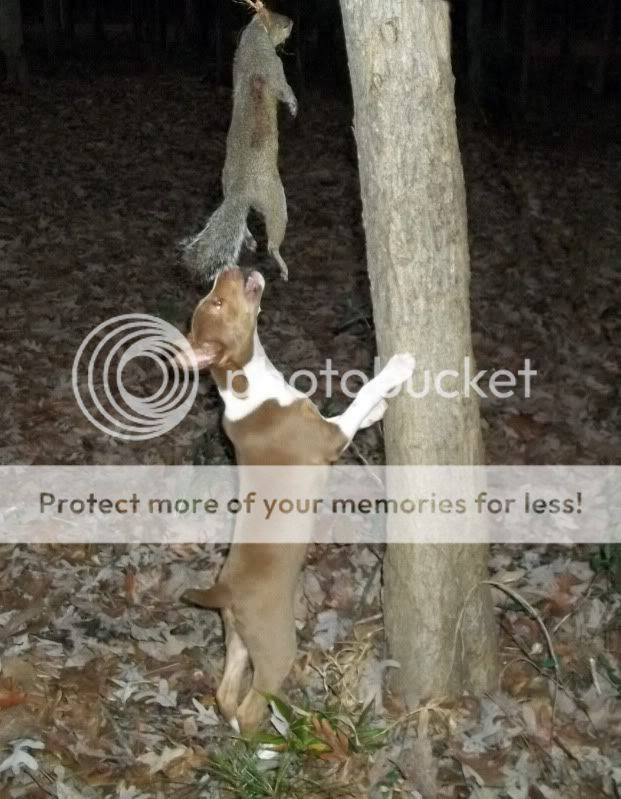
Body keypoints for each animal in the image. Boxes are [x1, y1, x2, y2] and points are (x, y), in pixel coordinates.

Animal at [183, 4, 297, 283]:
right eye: (281, 22)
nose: (292, 22)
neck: (254, 40)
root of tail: (242, 191)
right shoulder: (274, 67)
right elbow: (285, 89)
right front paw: (293, 106)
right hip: (276, 200)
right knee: (273, 240)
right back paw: (280, 263)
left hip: (227, 184)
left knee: (244, 225)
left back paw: (249, 239)